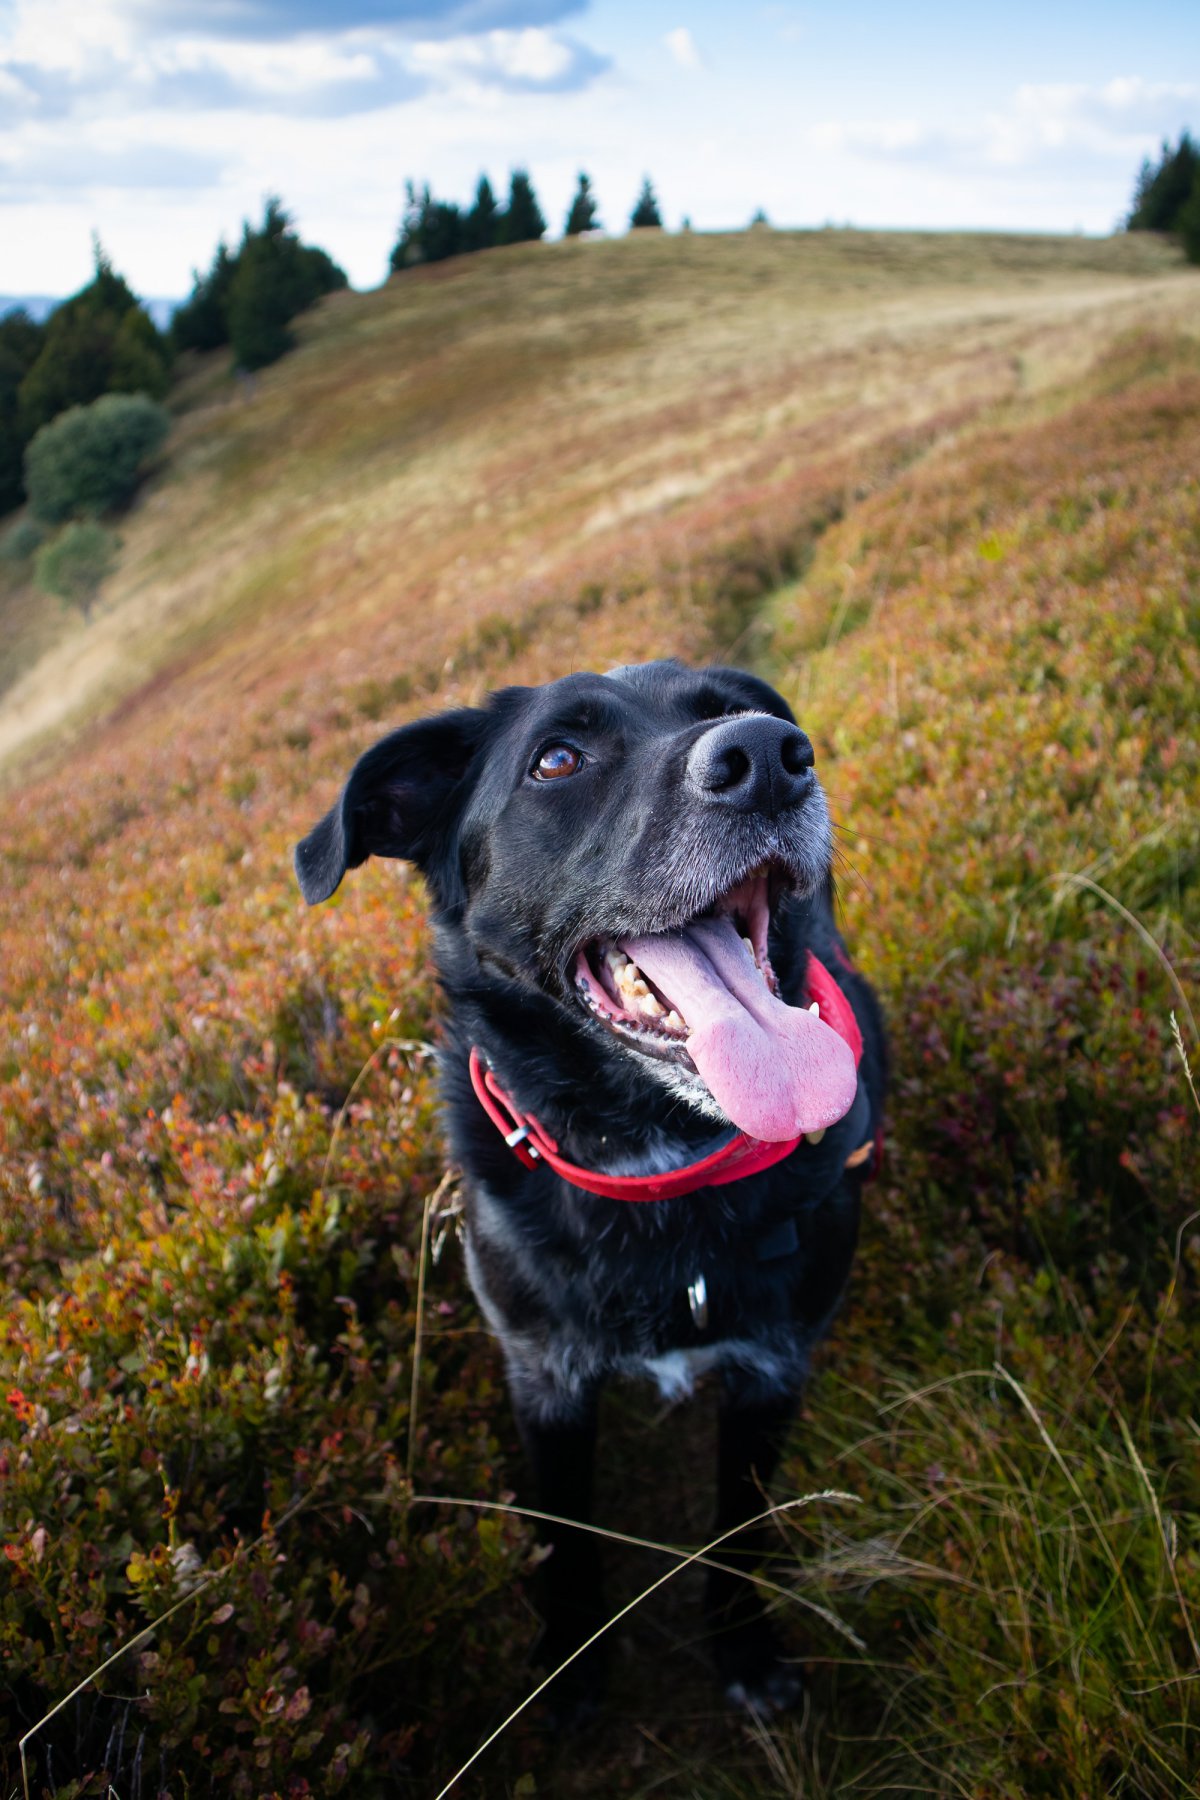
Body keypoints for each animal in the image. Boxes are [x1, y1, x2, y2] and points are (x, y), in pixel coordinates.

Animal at [295, 662, 888, 1713]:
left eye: (725, 709)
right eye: (557, 759)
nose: (771, 753)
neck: (659, 1160)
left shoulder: (775, 1366)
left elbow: (741, 1527)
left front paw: (744, 1647)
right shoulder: (544, 1377)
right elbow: (563, 1532)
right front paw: (569, 1660)